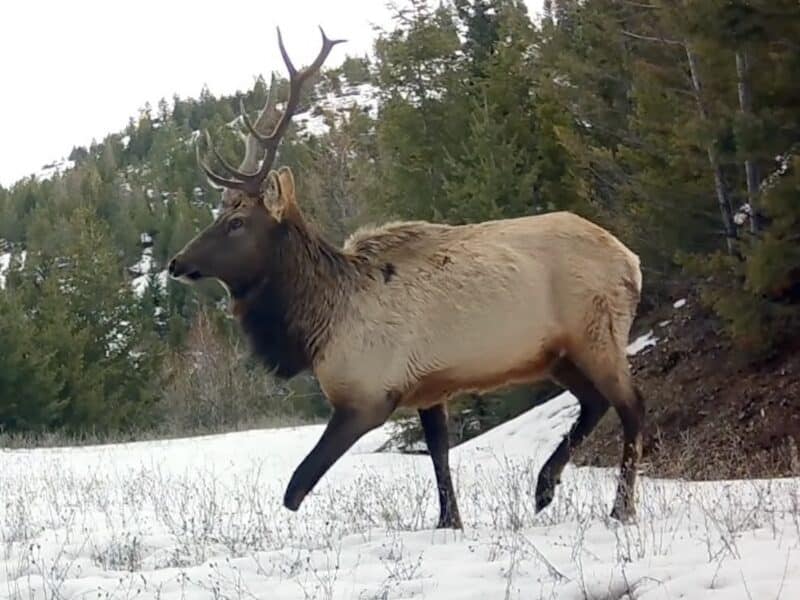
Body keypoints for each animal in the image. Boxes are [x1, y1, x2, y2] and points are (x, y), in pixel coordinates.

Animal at [168, 26, 646, 529]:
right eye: (220, 213)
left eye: (237, 222)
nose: (176, 263)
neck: (319, 324)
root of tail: (631, 259)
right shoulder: (427, 388)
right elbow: (439, 456)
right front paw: (449, 521)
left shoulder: (367, 396)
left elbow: (296, 486)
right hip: (557, 354)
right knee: (594, 403)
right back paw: (544, 487)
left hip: (597, 334)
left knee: (632, 406)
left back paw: (620, 508)